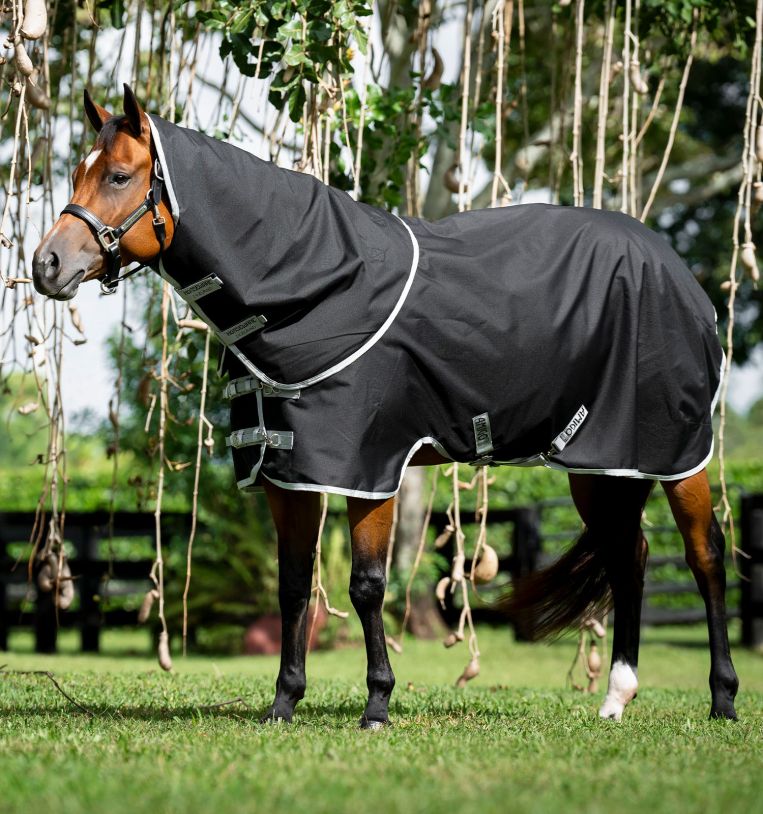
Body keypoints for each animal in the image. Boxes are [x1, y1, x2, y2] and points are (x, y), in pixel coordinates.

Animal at [32, 85, 738, 727]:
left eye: (119, 175)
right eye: (77, 173)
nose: (47, 264)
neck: (315, 285)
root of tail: (674, 267)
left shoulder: (368, 470)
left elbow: (367, 585)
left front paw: (377, 704)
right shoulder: (290, 474)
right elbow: (294, 586)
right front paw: (284, 703)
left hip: (677, 454)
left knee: (704, 557)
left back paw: (723, 699)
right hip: (603, 463)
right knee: (629, 558)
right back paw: (617, 697)